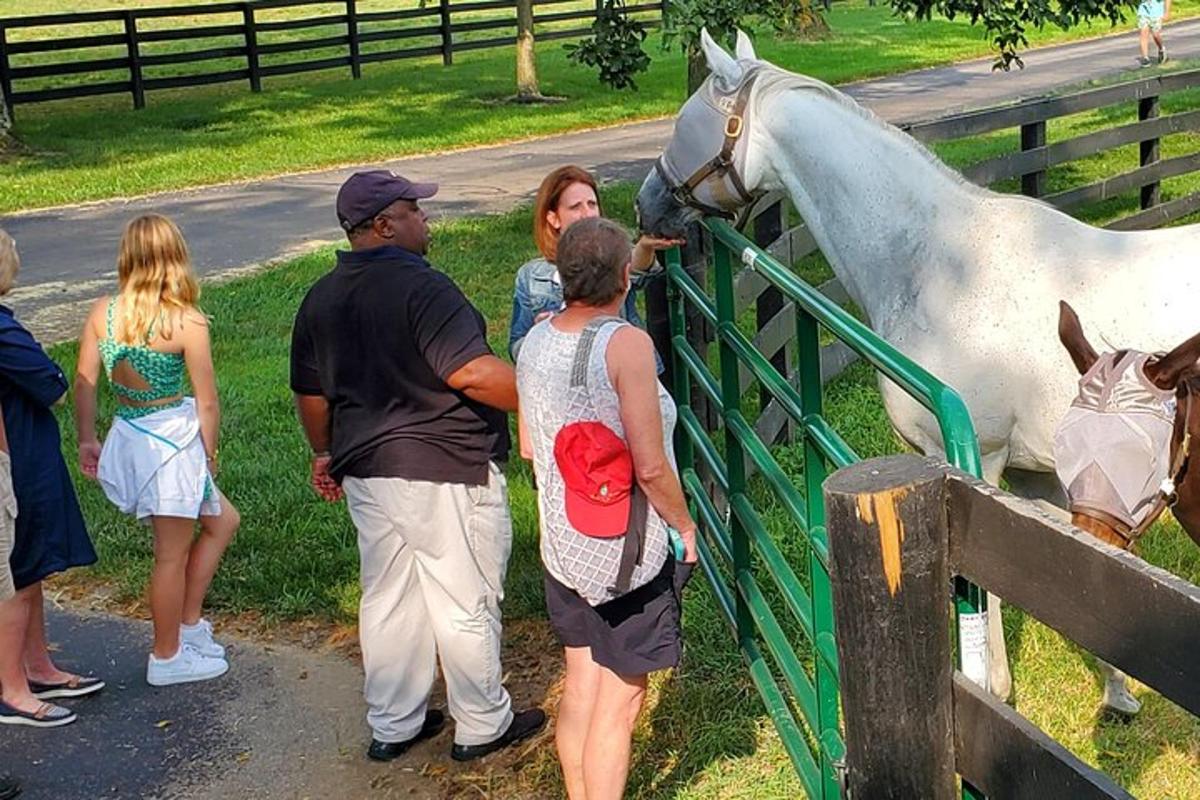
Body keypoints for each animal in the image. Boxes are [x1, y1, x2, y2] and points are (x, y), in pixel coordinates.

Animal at [638, 28, 1200, 714]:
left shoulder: (978, 466)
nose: (647, 205)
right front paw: (1119, 694)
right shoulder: (1040, 479)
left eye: (684, 125)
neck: (943, 263)